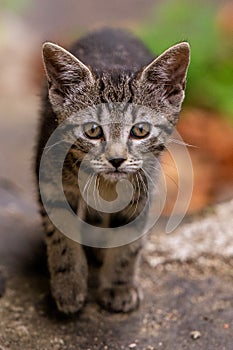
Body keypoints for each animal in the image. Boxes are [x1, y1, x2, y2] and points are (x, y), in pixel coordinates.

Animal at [35, 28, 190, 314]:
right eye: (92, 130)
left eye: (140, 130)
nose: (116, 159)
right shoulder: (51, 180)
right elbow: (61, 236)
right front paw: (69, 285)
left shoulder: (142, 189)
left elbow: (128, 242)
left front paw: (119, 285)